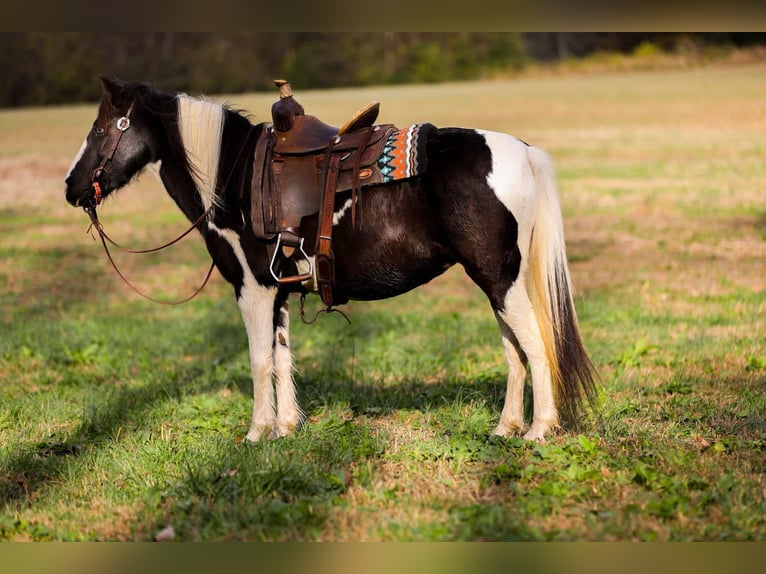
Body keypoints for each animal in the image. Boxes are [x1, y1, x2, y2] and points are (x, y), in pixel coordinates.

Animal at [64, 77, 598, 442]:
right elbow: (282, 357)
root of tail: (522, 152)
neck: (231, 176)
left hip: (499, 279)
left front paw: (256, 433)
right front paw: (285, 427)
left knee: (536, 345)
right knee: (515, 350)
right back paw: (506, 427)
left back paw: (539, 430)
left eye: (101, 128)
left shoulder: (252, 287)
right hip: (496, 282)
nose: (70, 187)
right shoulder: (279, 289)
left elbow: (259, 360)